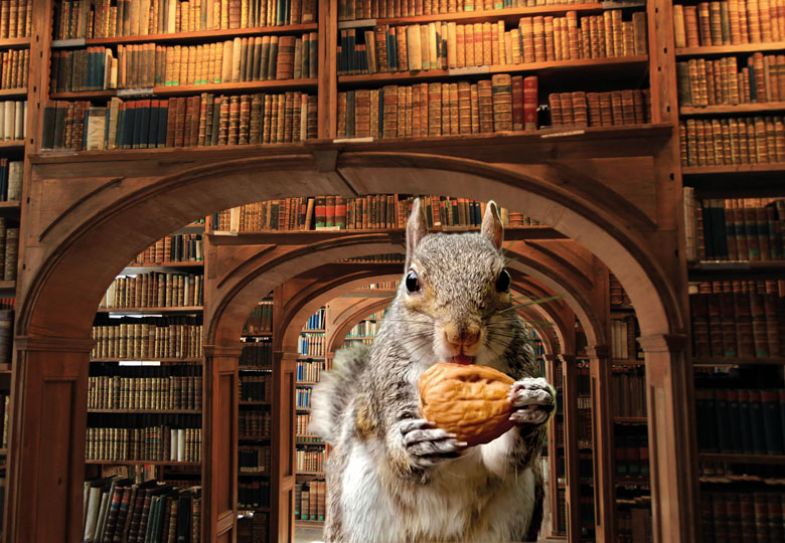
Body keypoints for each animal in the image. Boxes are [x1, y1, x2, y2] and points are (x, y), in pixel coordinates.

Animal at [310, 199, 556, 542]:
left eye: (505, 279)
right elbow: (400, 454)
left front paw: (533, 402)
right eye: (411, 281)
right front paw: (413, 443)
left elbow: (505, 459)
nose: (462, 334)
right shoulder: (389, 382)